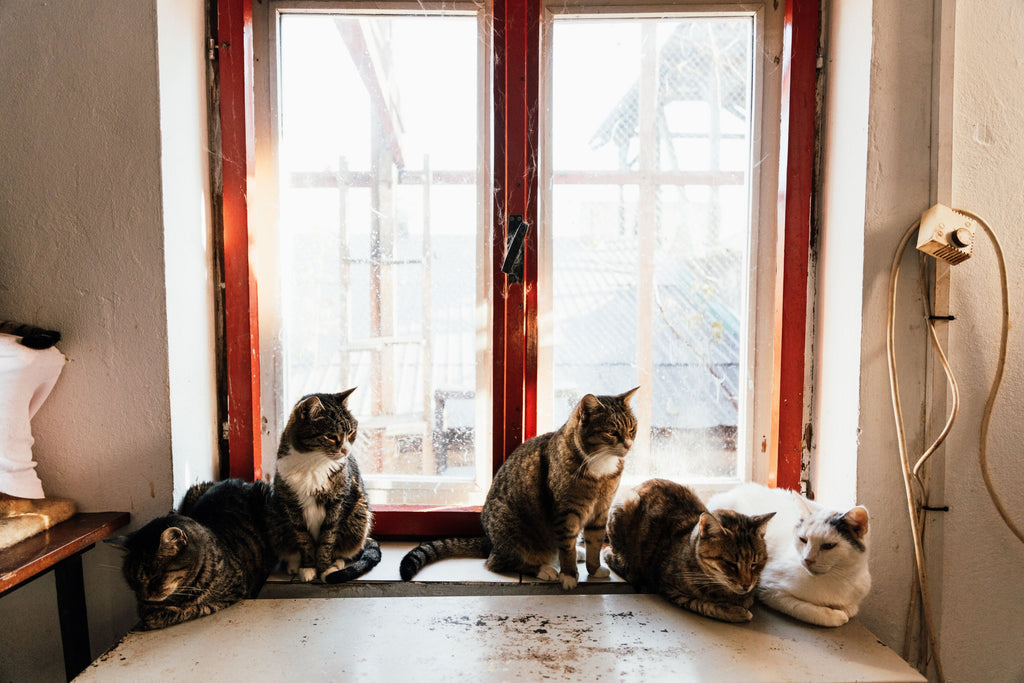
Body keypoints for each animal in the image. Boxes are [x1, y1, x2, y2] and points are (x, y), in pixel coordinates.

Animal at [113, 475, 276, 630]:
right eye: (131, 581)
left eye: (154, 578)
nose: (142, 598)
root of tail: (238, 480)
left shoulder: (234, 592)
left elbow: (193, 609)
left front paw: (155, 617)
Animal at [268, 387, 380, 585]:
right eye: (331, 436)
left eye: (351, 432)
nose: (346, 450)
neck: (312, 462)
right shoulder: (292, 505)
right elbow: (303, 538)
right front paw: (307, 568)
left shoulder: (337, 502)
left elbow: (328, 538)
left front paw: (324, 569)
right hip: (276, 518)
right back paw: (293, 565)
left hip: (359, 514)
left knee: (347, 549)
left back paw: (336, 564)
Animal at [397, 387, 630, 589]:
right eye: (611, 432)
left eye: (631, 429)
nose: (628, 444)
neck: (601, 466)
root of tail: (490, 542)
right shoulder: (566, 512)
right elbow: (566, 547)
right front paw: (569, 575)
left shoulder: (601, 509)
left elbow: (595, 541)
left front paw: (594, 569)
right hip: (512, 526)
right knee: (497, 562)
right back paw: (544, 569)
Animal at [598, 479, 774, 622]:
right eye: (730, 563)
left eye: (755, 563)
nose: (746, 585)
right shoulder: (671, 589)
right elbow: (705, 605)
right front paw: (738, 612)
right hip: (625, 508)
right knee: (612, 556)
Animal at [708, 483, 868, 626]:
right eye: (803, 539)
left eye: (829, 546)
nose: (807, 559)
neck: (839, 579)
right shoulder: (771, 591)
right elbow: (810, 611)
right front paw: (836, 616)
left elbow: (852, 609)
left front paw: (844, 610)